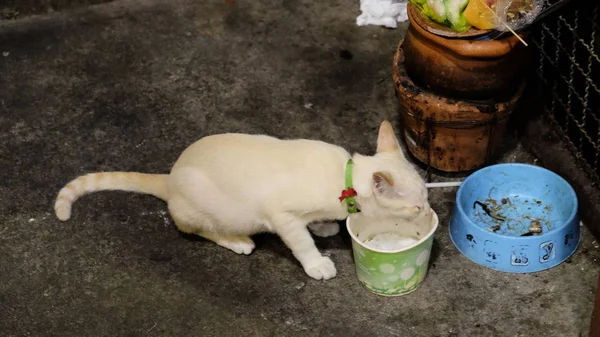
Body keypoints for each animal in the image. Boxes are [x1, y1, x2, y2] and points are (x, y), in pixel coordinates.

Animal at [55, 120, 426, 278]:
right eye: (418, 205)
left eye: (425, 197)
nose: (428, 211)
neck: (343, 176)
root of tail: (171, 177)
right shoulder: (281, 216)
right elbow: (301, 242)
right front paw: (317, 262)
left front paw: (323, 227)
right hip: (204, 208)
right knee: (193, 228)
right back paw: (237, 241)